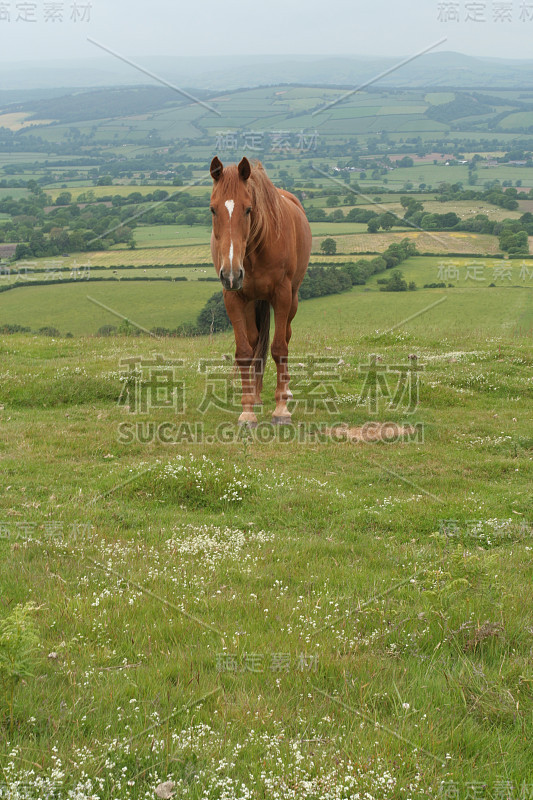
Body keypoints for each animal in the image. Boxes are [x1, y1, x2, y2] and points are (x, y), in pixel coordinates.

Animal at [209, 159, 312, 428]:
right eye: (213, 210)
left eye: (248, 209)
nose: (231, 273)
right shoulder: (233, 297)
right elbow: (245, 352)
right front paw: (247, 411)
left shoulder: (282, 295)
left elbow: (279, 349)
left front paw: (281, 410)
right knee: (255, 341)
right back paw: (255, 395)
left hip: (292, 298)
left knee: (286, 336)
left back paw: (285, 392)